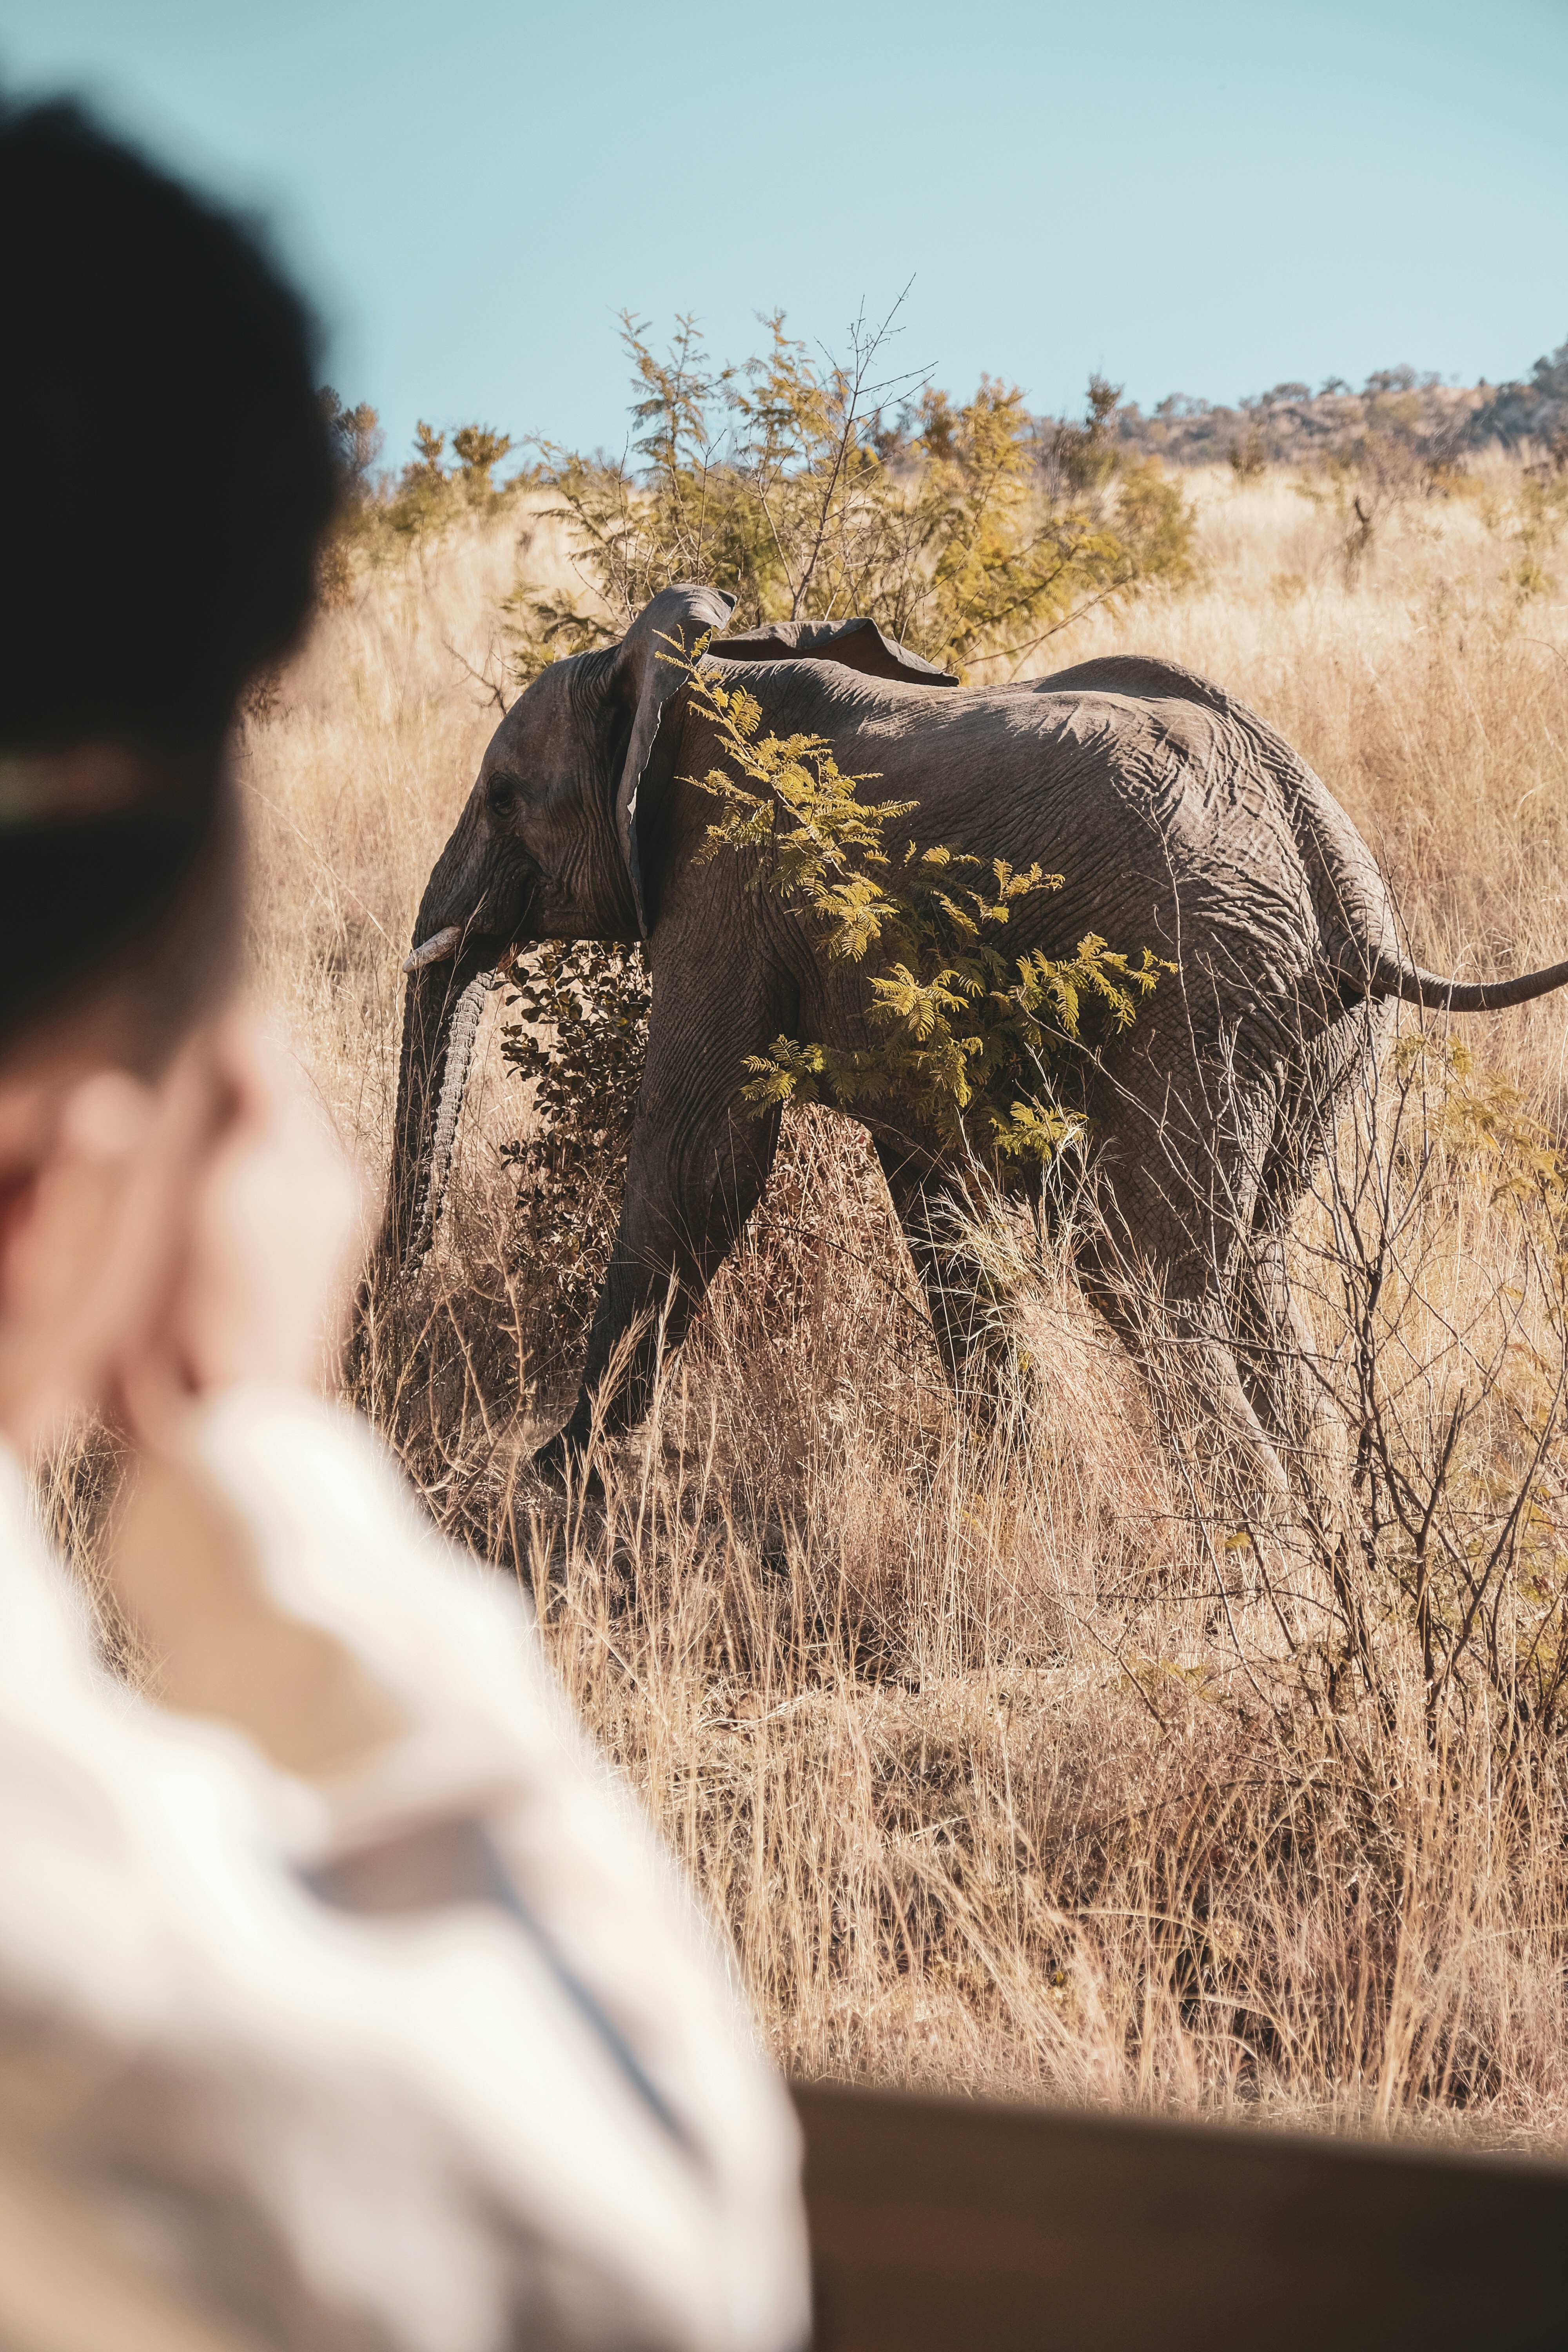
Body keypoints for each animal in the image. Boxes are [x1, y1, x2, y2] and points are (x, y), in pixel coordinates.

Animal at [386, 582, 1568, 1514]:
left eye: (503, 799)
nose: (383, 1365)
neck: (684, 676)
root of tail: (1329, 862)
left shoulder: (727, 881)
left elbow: (701, 1162)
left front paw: (548, 1478)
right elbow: (927, 1191)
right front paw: (1009, 1477)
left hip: (1199, 993)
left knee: (1143, 1271)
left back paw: (1257, 1558)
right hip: (1302, 1026)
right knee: (1256, 1263)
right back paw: (1324, 1531)